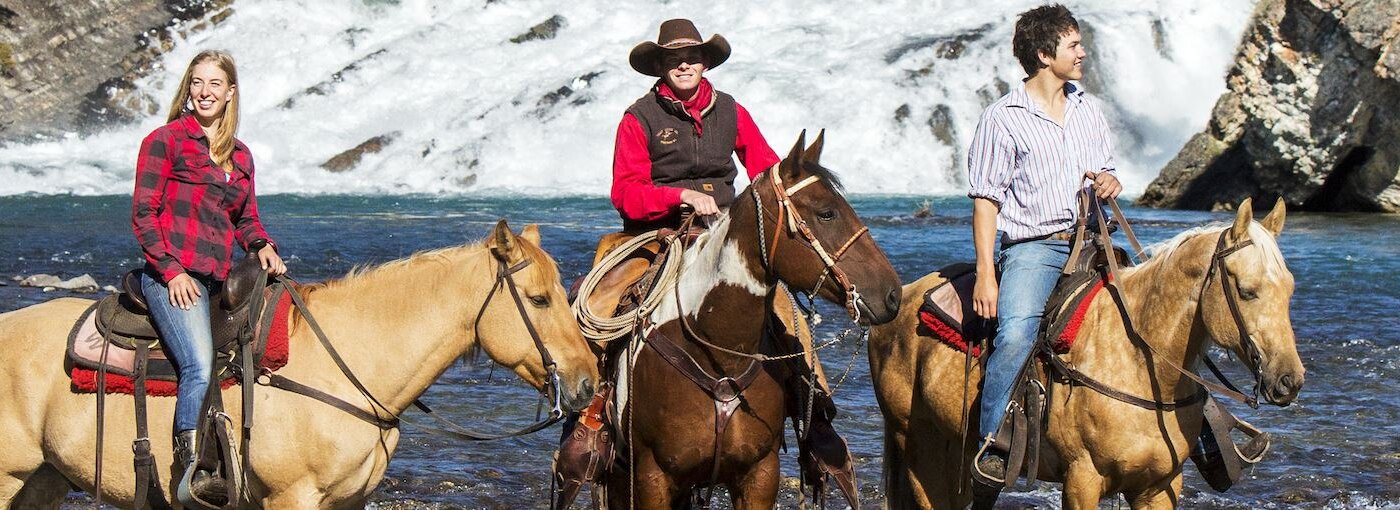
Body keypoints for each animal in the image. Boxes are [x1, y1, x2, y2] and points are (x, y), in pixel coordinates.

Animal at [0, 222, 596, 509]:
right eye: (539, 299)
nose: (588, 382)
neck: (350, 365)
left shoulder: (350, 502)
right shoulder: (292, 498)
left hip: (44, 482)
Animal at [868, 197, 1304, 507]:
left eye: (1290, 289)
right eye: (1247, 291)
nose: (1290, 380)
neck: (1138, 363)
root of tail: (902, 297)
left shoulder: (1160, 486)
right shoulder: (1082, 479)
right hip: (918, 447)